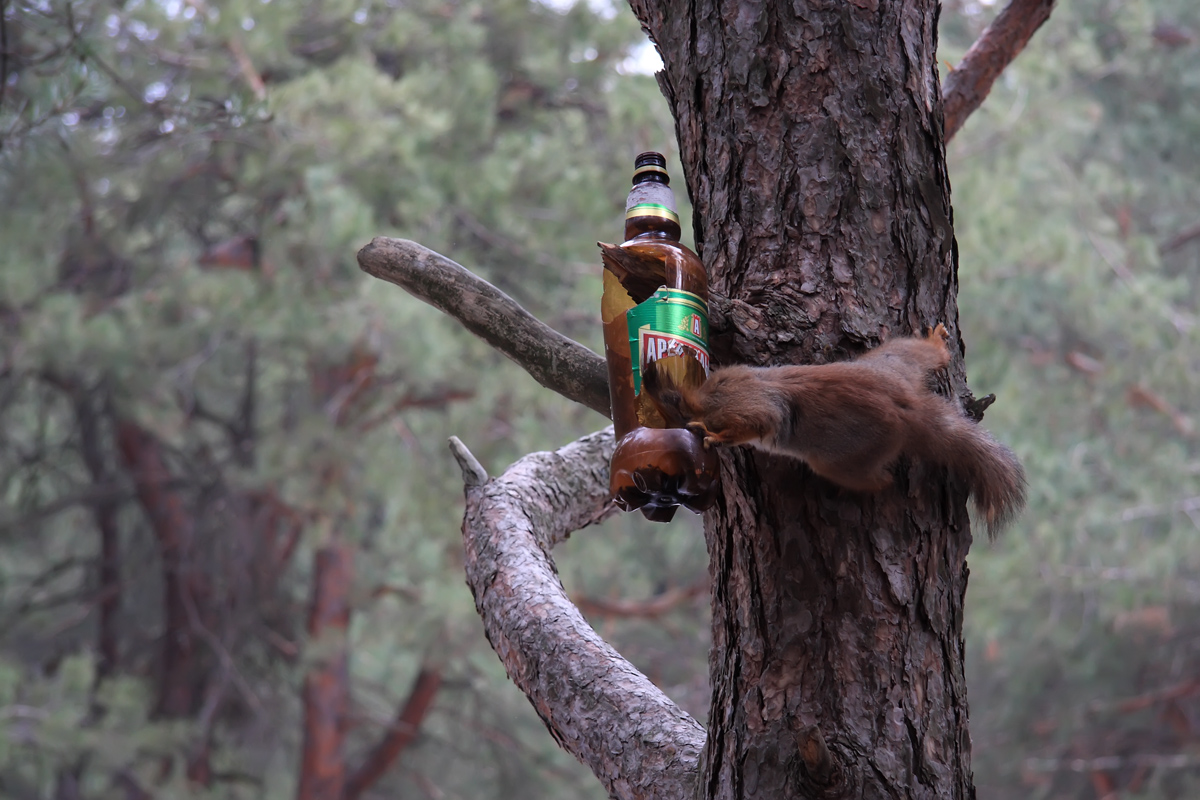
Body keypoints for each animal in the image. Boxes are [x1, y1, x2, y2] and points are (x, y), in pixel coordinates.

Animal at [643, 321, 1027, 534]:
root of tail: (908, 407)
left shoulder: (752, 409)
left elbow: (758, 421)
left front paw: (714, 436)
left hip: (843, 458)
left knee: (874, 478)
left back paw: (870, 486)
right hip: (893, 360)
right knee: (928, 354)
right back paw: (934, 342)